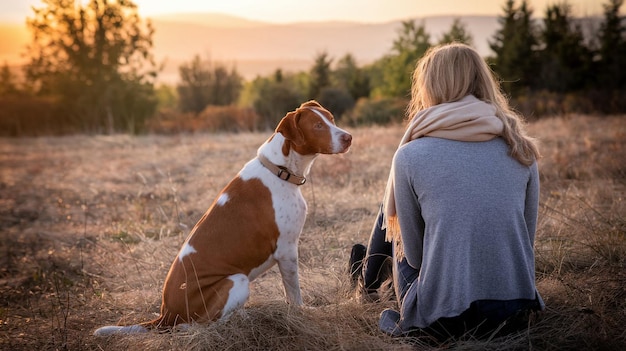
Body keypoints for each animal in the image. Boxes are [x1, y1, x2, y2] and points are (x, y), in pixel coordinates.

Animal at [91, 100, 352, 336]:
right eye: (317, 125)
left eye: (331, 118)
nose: (349, 137)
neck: (280, 169)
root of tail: (165, 315)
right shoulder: (287, 251)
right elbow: (294, 293)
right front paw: (304, 314)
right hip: (236, 281)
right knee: (201, 326)